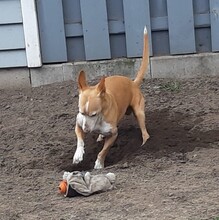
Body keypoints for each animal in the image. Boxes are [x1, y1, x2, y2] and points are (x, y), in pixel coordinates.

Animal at [72, 26, 150, 169]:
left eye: (94, 114)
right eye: (81, 112)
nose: (86, 130)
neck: (99, 118)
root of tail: (133, 83)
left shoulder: (113, 134)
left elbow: (103, 151)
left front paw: (99, 164)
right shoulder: (79, 123)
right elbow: (80, 140)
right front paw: (78, 155)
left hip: (139, 112)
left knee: (144, 132)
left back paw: (144, 145)